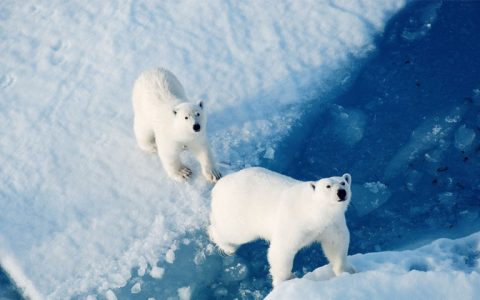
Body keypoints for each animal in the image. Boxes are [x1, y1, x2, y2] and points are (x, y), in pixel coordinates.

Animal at [208, 166, 354, 286]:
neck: (314, 212)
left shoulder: (332, 224)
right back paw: (227, 246)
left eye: (343, 182)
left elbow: (336, 244)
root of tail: (220, 185)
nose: (341, 192)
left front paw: (346, 271)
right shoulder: (294, 223)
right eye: (328, 186)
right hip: (240, 212)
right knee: (233, 232)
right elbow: (281, 250)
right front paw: (286, 280)